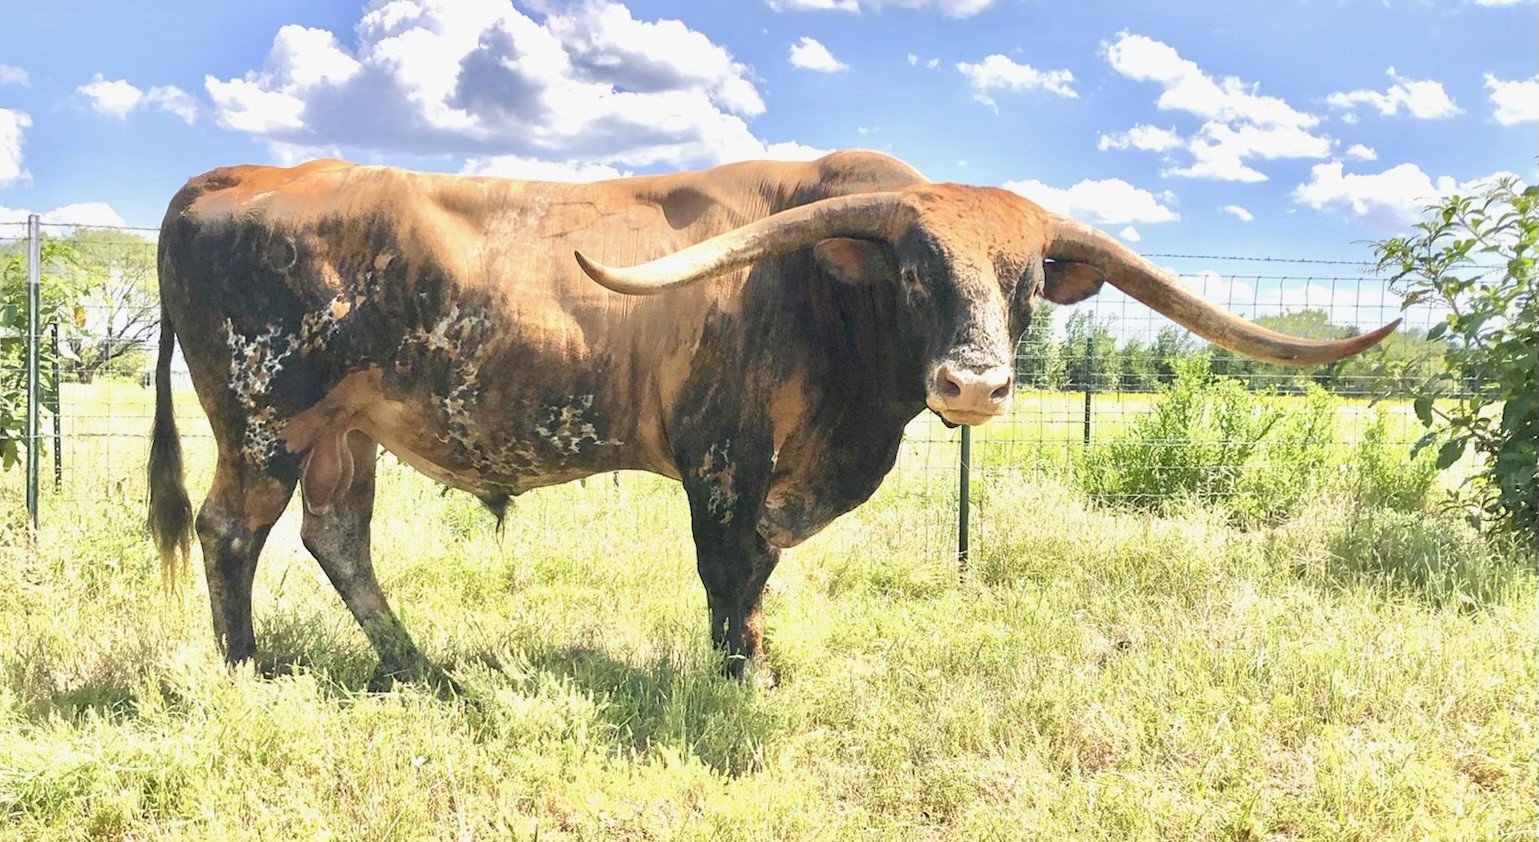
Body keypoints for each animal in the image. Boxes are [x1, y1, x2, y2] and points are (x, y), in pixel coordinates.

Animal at [148, 151, 1397, 687]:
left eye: (1029, 282)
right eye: (913, 272)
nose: (973, 384)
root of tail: (234, 177)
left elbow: (758, 569)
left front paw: (755, 653)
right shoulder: (723, 461)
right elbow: (729, 566)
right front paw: (735, 670)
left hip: (343, 431)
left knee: (337, 537)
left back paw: (421, 668)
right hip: (264, 419)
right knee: (232, 531)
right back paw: (249, 667)